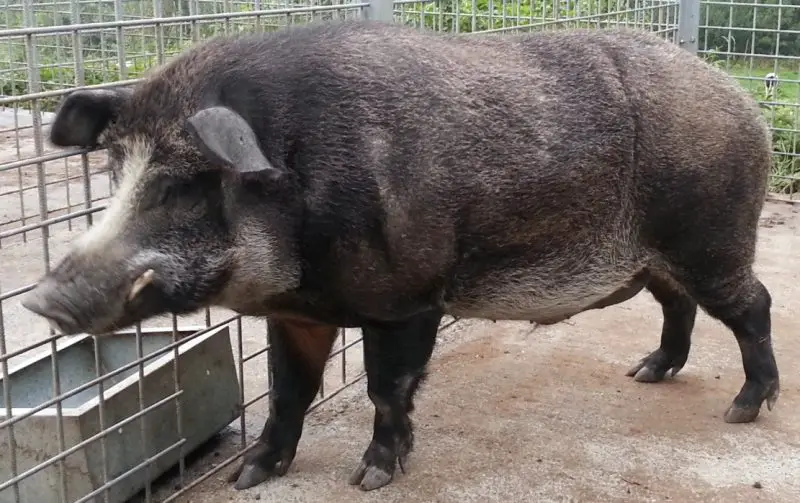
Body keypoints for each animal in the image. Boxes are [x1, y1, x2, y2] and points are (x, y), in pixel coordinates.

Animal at [21, 20, 779, 492]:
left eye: (181, 185)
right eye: (114, 169)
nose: (40, 297)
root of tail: (741, 101)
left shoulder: (407, 299)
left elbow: (387, 389)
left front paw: (371, 478)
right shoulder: (296, 313)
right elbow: (288, 392)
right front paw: (249, 475)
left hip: (712, 236)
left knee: (754, 304)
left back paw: (744, 410)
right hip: (660, 258)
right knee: (678, 305)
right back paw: (646, 373)